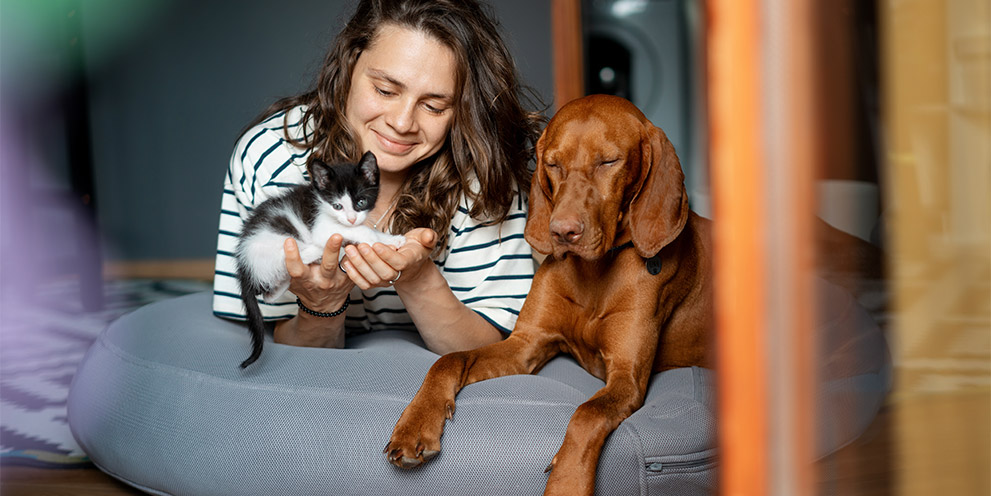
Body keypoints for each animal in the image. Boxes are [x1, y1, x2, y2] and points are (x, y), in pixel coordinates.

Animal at [234, 152, 404, 368]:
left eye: (361, 202)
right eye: (337, 206)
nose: (351, 219)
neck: (322, 202)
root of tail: (244, 263)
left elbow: (364, 227)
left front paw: (392, 239)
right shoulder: (321, 227)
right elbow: (361, 230)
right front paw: (373, 239)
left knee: (268, 294)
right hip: (277, 240)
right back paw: (316, 251)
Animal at [386, 95, 712, 494]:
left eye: (609, 161)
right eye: (553, 164)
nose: (562, 231)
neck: (595, 272)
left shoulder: (627, 378)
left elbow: (587, 413)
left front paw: (567, 481)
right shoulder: (526, 344)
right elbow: (449, 359)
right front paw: (416, 423)